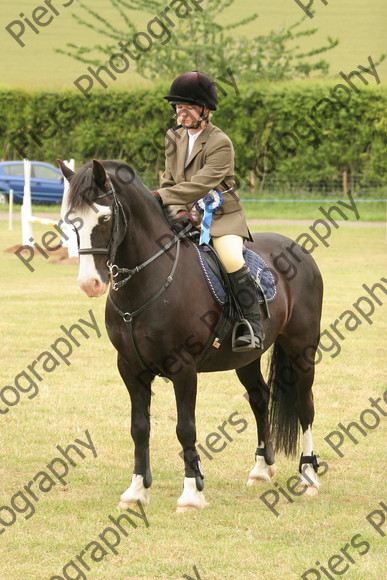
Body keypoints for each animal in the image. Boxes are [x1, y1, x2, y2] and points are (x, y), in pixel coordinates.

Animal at [58, 159, 324, 512]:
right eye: (70, 219)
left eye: (104, 217)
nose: (90, 283)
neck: (147, 280)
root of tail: (299, 251)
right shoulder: (130, 369)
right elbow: (139, 428)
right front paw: (136, 490)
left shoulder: (183, 368)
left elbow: (185, 428)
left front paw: (191, 493)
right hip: (246, 358)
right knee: (260, 398)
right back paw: (261, 469)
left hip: (301, 349)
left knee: (304, 405)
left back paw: (309, 476)